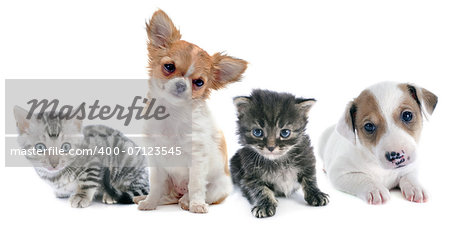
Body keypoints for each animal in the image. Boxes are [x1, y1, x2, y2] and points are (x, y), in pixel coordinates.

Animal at [12, 106, 148, 208]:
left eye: (66, 147)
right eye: (40, 147)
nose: (54, 164)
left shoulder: (94, 162)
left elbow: (88, 180)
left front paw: (81, 196)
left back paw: (111, 194)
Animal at [134, 9, 248, 213]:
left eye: (199, 82)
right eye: (169, 67)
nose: (181, 85)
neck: (172, 114)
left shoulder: (197, 159)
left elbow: (195, 185)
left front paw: (196, 205)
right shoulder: (155, 159)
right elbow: (155, 184)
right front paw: (149, 203)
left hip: (217, 187)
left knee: (192, 193)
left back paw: (187, 201)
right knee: (168, 195)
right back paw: (146, 198)